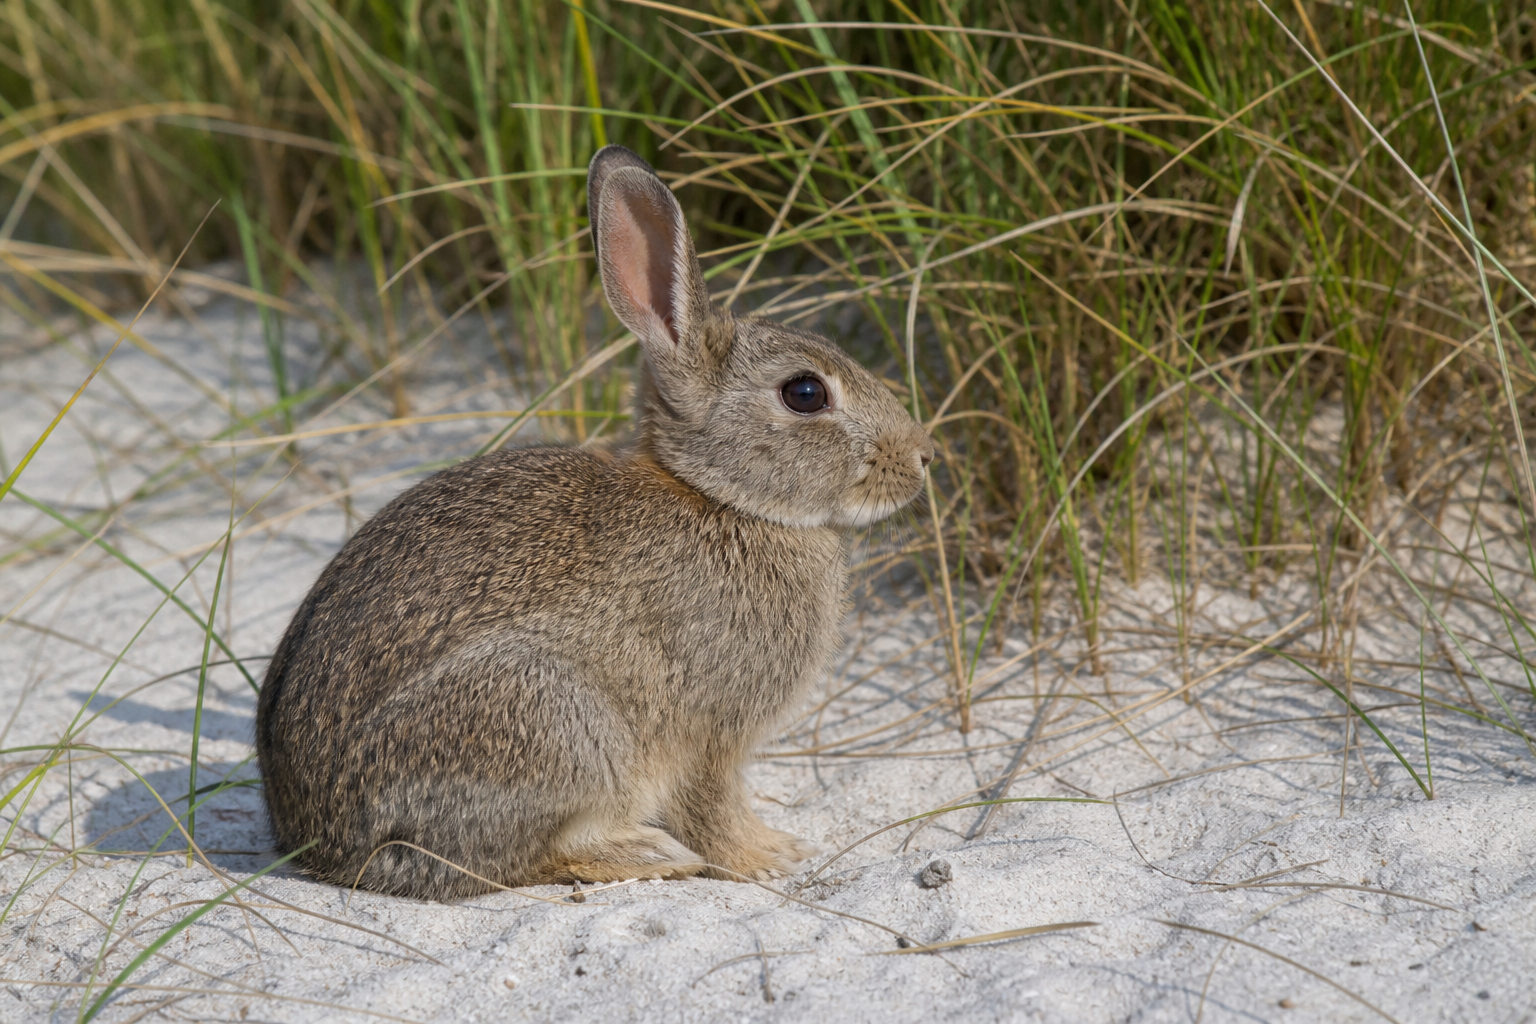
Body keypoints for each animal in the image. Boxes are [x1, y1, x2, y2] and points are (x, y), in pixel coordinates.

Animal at [255, 144, 935, 900]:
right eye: (806, 393)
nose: (921, 458)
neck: (721, 499)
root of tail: (326, 847)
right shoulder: (711, 734)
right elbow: (713, 807)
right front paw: (767, 857)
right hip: (550, 721)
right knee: (511, 858)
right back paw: (647, 852)